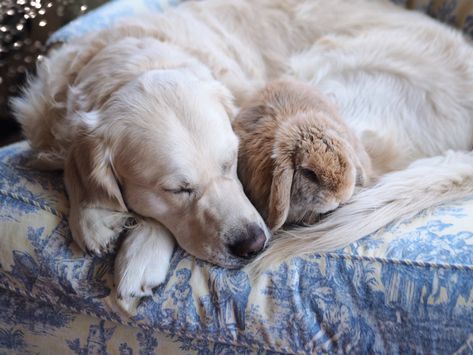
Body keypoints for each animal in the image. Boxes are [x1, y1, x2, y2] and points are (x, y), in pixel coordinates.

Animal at [10, 0, 472, 308]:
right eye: (177, 189)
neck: (125, 59)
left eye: (230, 164)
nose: (253, 244)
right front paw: (91, 215)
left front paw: (137, 253)